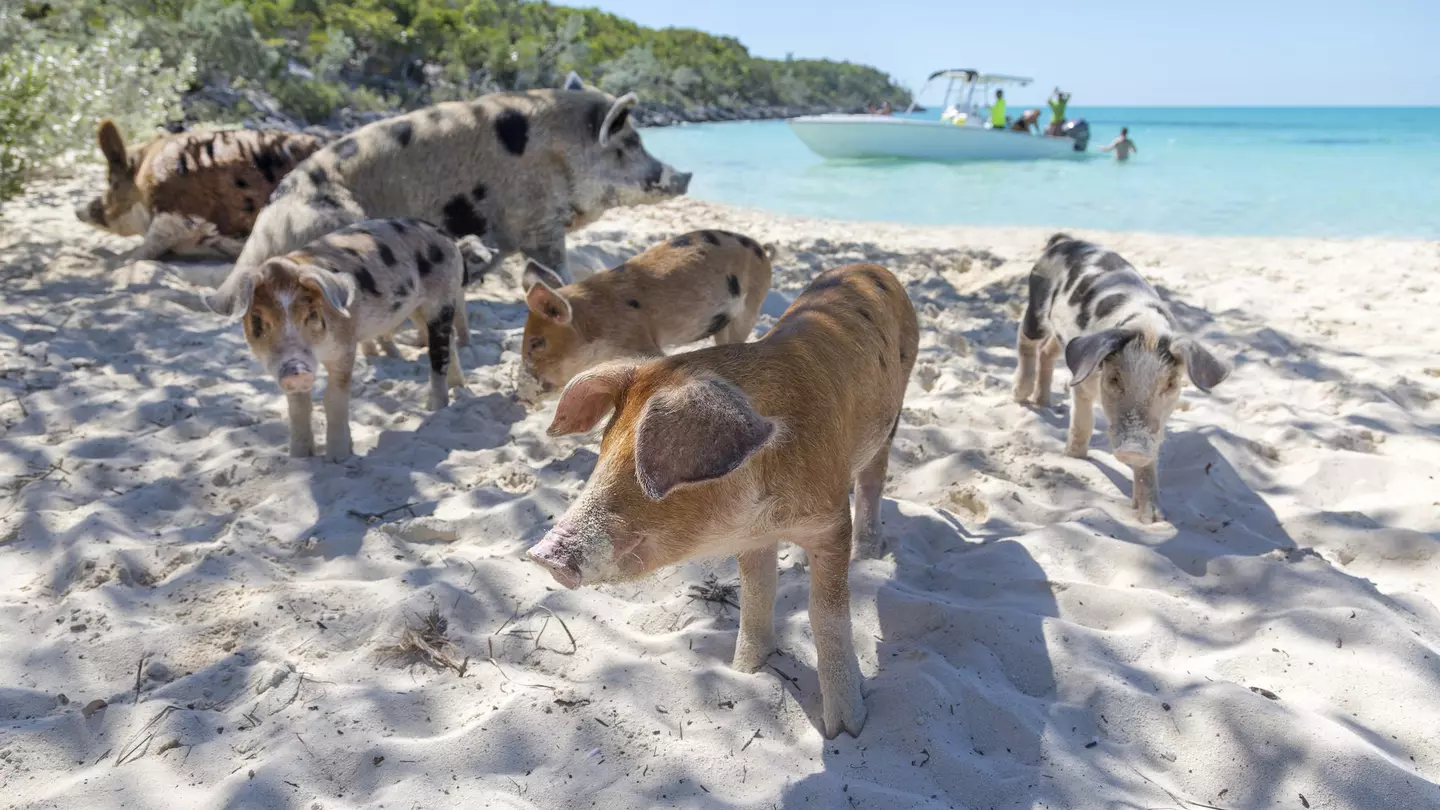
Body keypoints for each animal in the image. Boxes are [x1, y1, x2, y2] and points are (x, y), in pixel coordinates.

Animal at [204, 72, 691, 318]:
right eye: (631, 144)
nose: (685, 175)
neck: (563, 153)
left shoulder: (510, 228)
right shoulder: (538, 221)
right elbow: (559, 264)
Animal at [225, 218, 471, 461]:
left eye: (310, 314)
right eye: (257, 319)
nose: (296, 371)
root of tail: (441, 232)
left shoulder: (345, 347)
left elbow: (333, 398)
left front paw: (338, 458)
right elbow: (298, 407)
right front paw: (299, 458)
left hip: (441, 298)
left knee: (439, 353)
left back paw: (435, 408)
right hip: (417, 309)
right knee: (449, 340)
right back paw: (458, 388)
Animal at [526, 263, 919, 738]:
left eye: (644, 465)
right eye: (603, 453)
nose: (544, 555)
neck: (765, 512)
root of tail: (870, 267)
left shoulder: (830, 523)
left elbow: (825, 617)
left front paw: (846, 731)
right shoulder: (752, 538)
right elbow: (756, 597)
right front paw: (745, 670)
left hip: (894, 411)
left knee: (873, 479)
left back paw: (870, 551)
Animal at [1012, 233, 1231, 523]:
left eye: (1171, 384)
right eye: (1115, 379)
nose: (1133, 448)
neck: (1146, 327)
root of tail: (1067, 242)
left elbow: (1150, 460)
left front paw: (1153, 519)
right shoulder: (1084, 378)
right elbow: (1082, 420)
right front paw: (1074, 456)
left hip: (1064, 337)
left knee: (1048, 351)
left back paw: (1043, 402)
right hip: (1037, 302)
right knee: (1025, 338)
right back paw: (1020, 394)